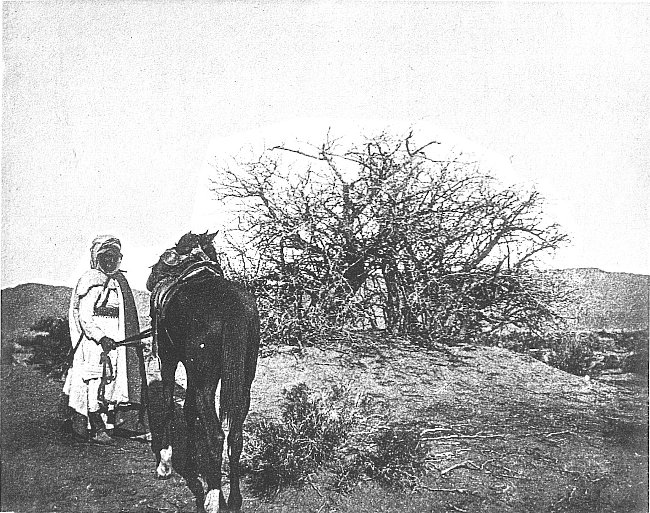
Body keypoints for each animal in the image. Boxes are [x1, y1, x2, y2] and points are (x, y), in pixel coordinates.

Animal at [146, 232, 260, 512]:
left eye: (169, 254)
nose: (151, 276)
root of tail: (232, 308)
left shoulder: (169, 358)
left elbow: (168, 403)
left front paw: (165, 462)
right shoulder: (193, 371)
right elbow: (188, 409)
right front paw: (191, 462)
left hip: (204, 381)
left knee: (217, 435)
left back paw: (212, 497)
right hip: (243, 385)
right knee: (235, 436)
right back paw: (233, 499)